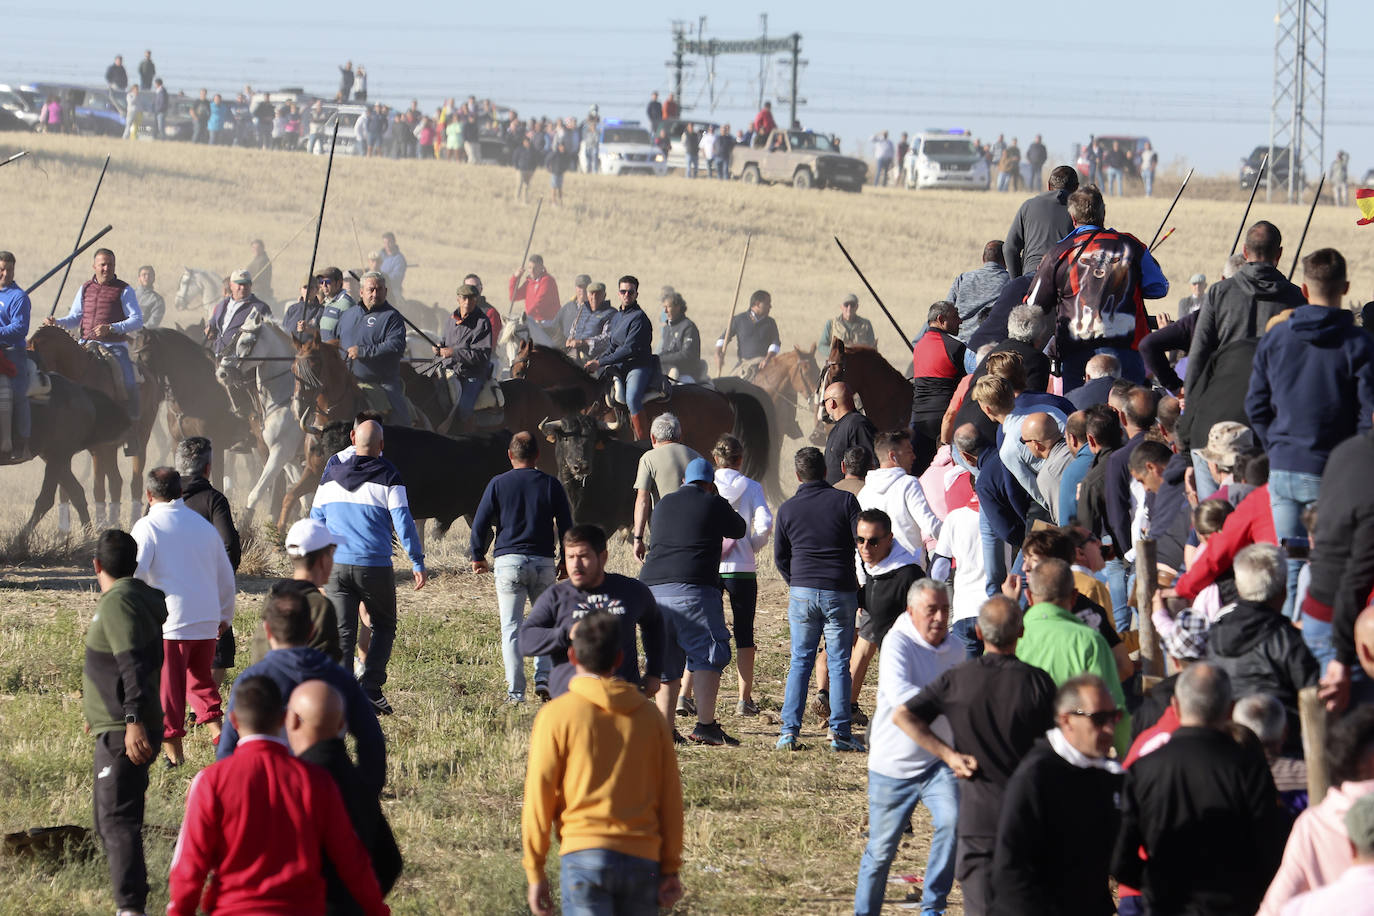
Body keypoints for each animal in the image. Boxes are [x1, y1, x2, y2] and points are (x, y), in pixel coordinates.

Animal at [30, 324, 163, 527]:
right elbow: (65, 488)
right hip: (111, 448)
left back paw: (131, 520)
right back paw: (113, 522)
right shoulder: (59, 451)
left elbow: (97, 487)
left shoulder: (97, 448)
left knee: (135, 481)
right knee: (116, 481)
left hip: (141, 438)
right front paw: (63, 529)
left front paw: (98, 525)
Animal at [217, 310, 303, 527]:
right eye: (234, 337)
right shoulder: (288, 458)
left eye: (246, 342)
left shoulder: (280, 452)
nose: (221, 373)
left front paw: (244, 525)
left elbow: (256, 493)